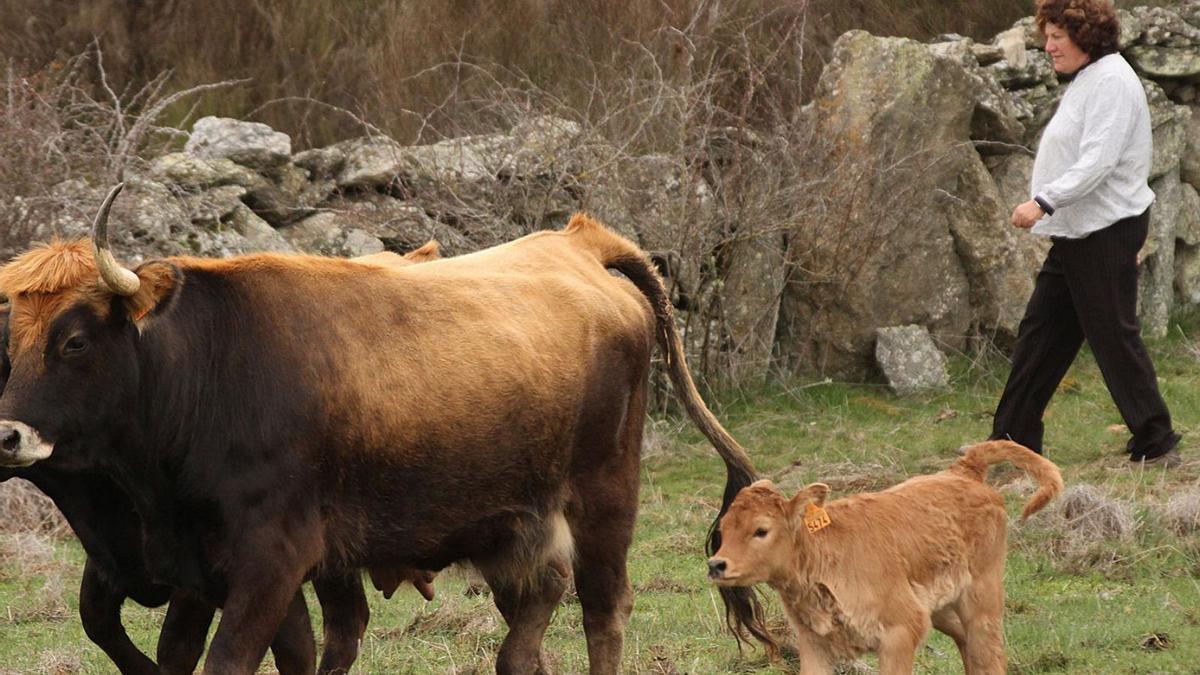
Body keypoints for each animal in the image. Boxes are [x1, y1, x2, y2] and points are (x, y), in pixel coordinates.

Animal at [705, 439, 1065, 672]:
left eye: (761, 530)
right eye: (723, 528)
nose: (716, 564)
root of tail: (962, 472)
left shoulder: (900, 631)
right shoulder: (814, 643)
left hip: (982, 596)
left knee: (989, 655)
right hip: (940, 607)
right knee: (970, 647)